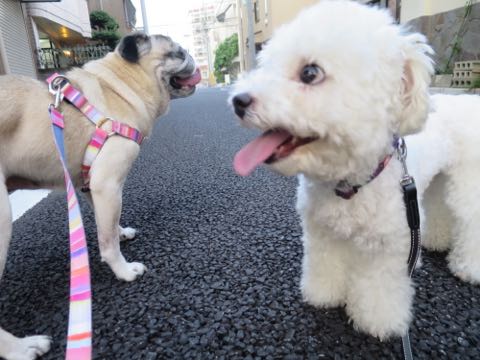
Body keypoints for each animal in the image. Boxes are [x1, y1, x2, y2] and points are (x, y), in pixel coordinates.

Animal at [229, 0, 480, 340]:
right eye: (267, 65)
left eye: (309, 73)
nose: (238, 100)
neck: (349, 183)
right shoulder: (322, 232)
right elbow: (326, 266)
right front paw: (324, 294)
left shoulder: (385, 247)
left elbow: (378, 288)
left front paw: (378, 321)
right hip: (434, 182)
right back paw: (432, 241)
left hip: (469, 182)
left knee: (470, 220)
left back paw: (468, 267)